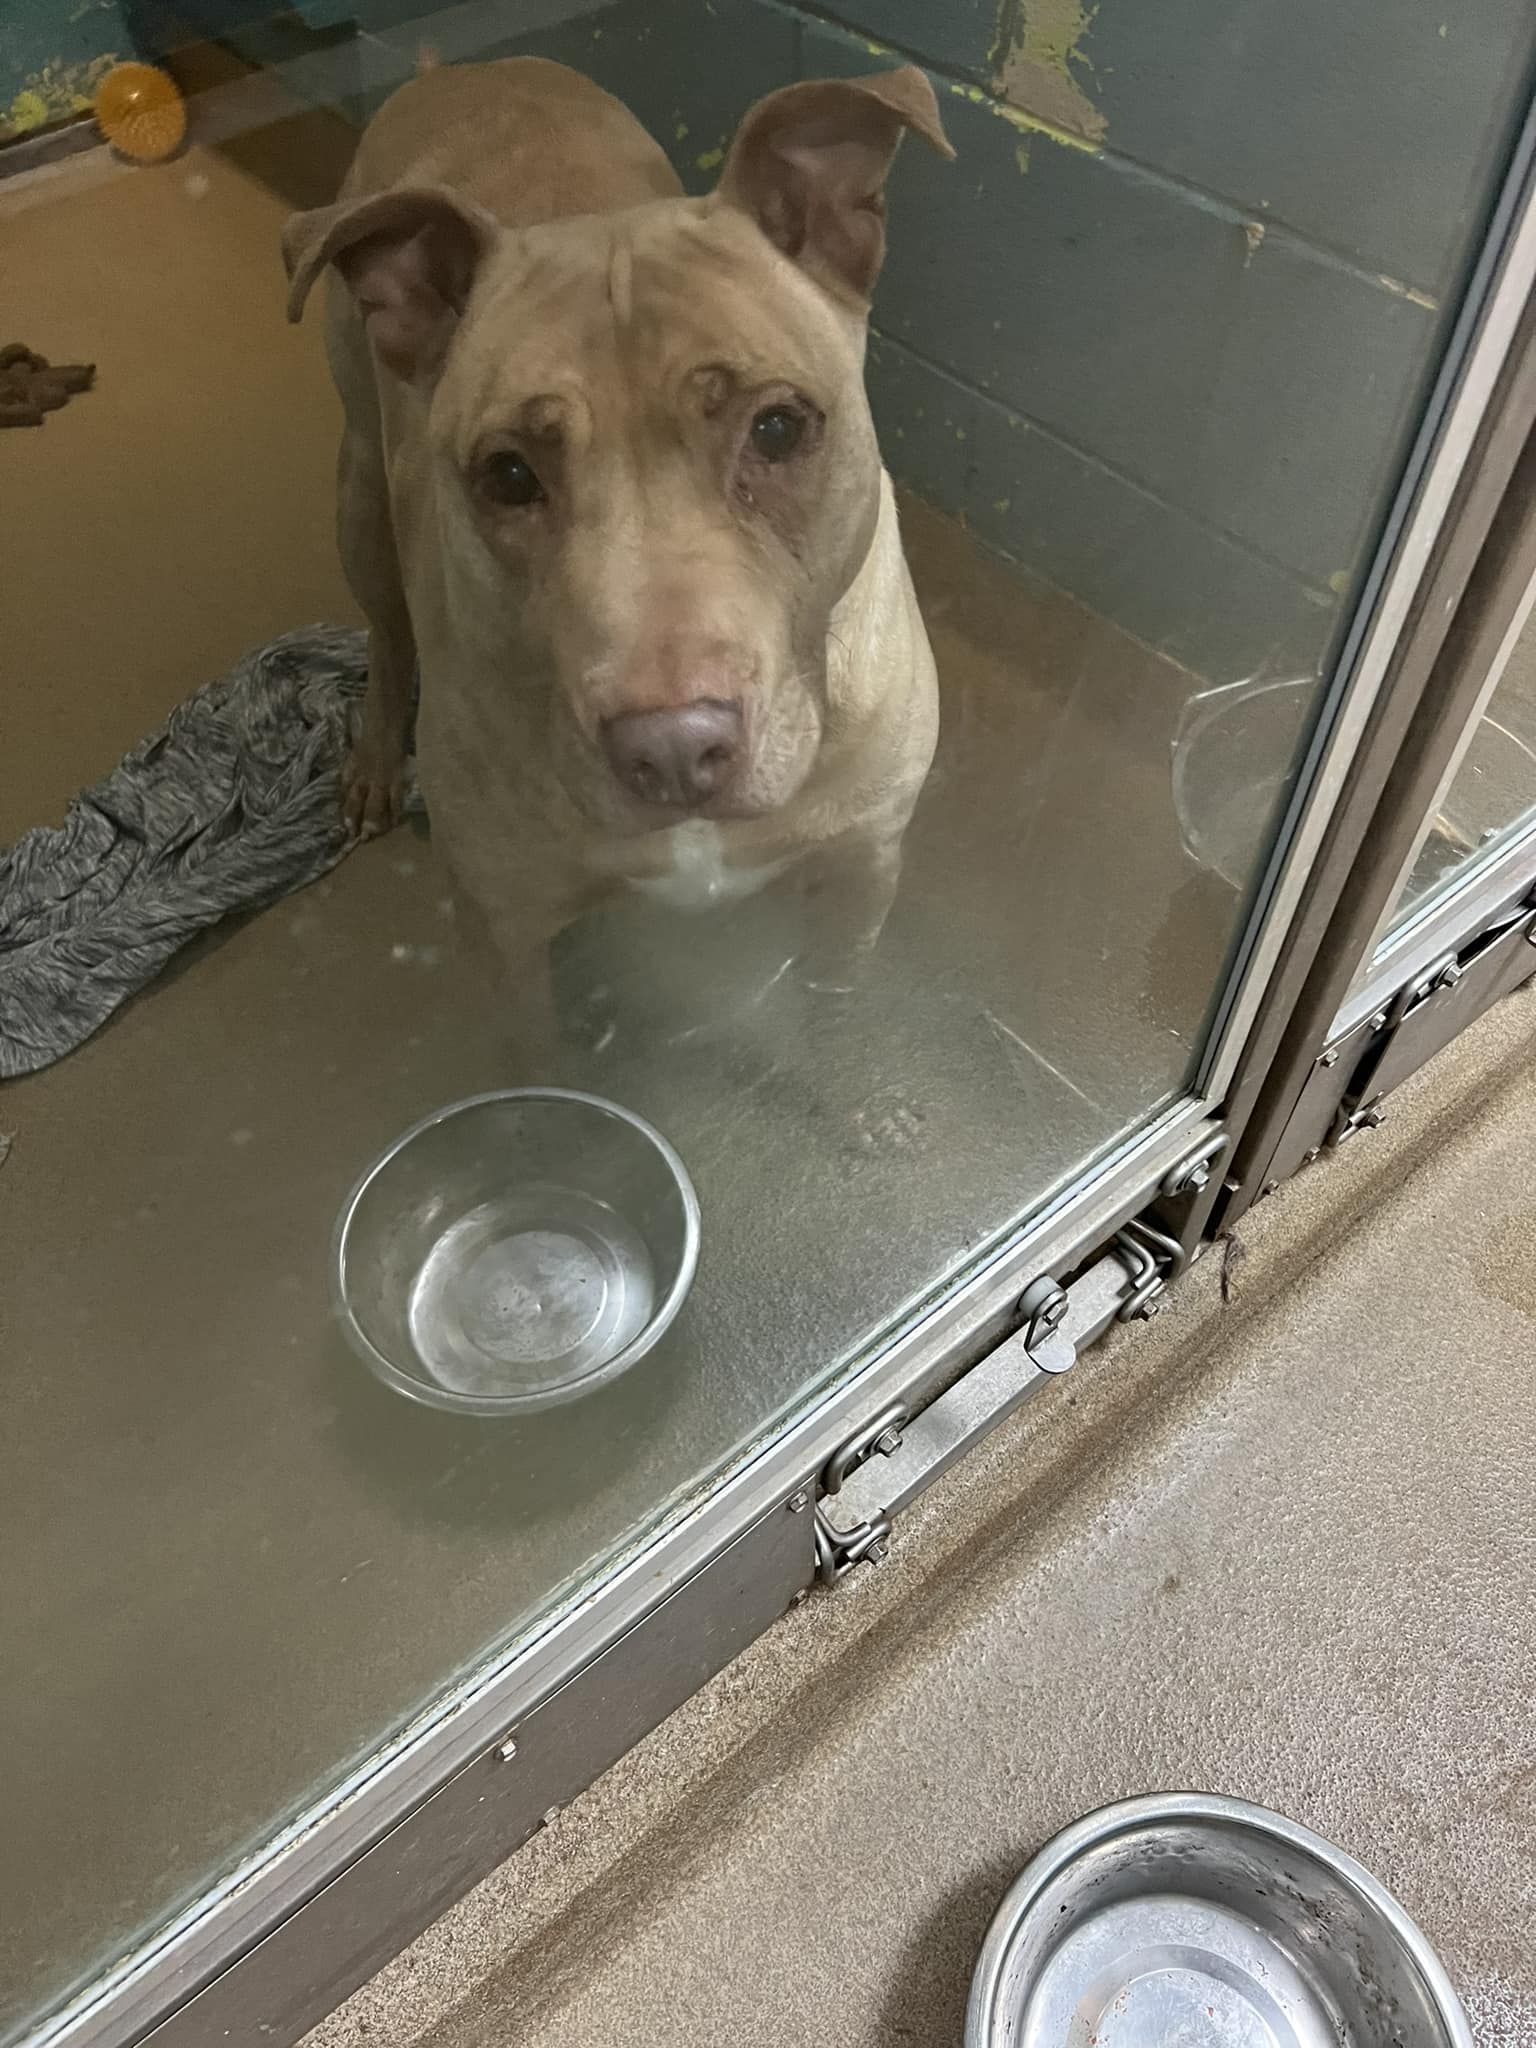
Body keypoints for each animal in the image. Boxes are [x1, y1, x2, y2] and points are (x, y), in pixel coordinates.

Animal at [280, 58, 950, 1032]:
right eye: (509, 475)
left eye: (778, 428)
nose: (671, 750)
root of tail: (467, 65)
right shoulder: (508, 941)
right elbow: (538, 1066)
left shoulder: (859, 877)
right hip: (360, 496)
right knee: (386, 632)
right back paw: (372, 760)